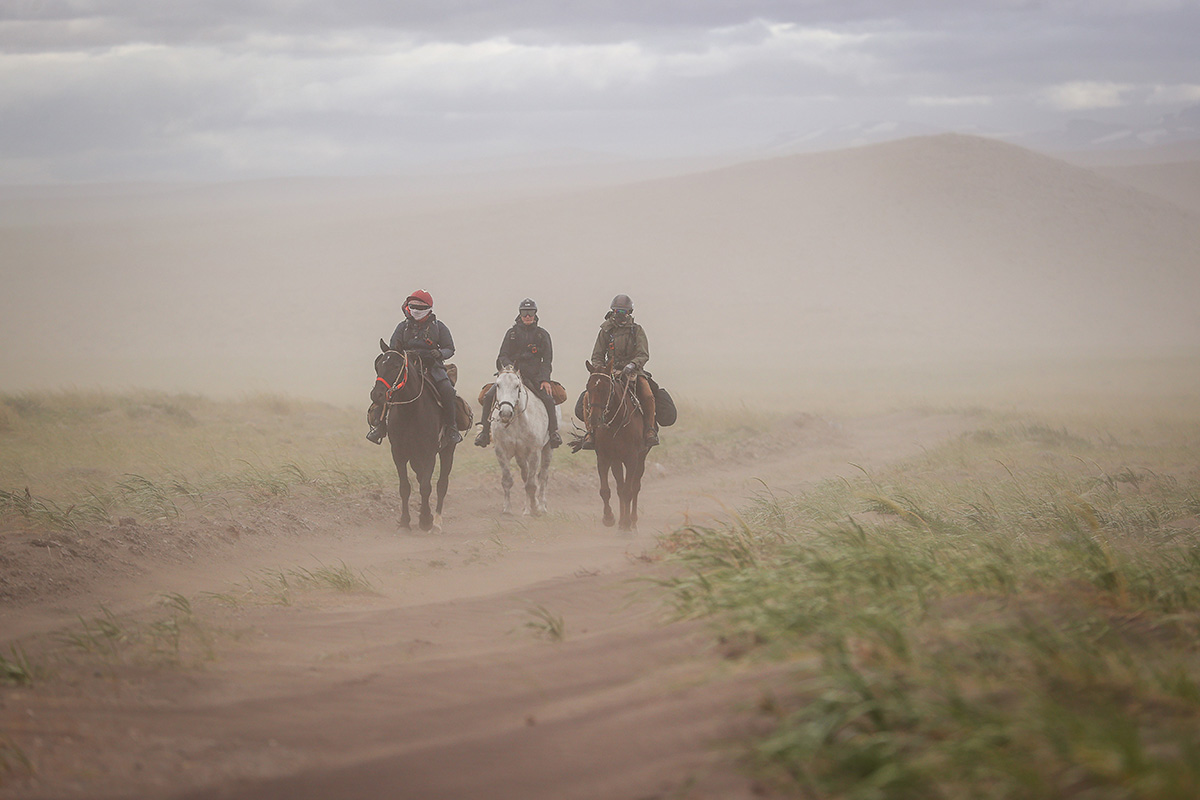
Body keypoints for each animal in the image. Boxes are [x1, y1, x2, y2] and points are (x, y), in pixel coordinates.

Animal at [374, 338, 453, 532]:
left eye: (396, 366)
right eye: (378, 365)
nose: (376, 395)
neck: (410, 412)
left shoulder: (430, 453)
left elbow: (426, 486)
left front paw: (425, 520)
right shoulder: (398, 453)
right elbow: (405, 487)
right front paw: (404, 522)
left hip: (447, 450)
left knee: (441, 484)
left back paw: (436, 521)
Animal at [489, 367, 554, 515]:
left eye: (517, 386)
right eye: (498, 385)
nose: (505, 413)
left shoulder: (534, 453)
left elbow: (531, 484)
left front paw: (535, 508)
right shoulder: (501, 451)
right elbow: (508, 480)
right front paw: (507, 509)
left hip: (547, 448)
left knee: (543, 476)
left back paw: (542, 506)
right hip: (520, 456)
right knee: (525, 475)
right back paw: (526, 509)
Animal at [583, 362, 648, 532]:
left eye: (607, 388)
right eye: (588, 387)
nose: (594, 418)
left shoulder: (632, 458)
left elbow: (628, 491)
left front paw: (626, 526)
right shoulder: (604, 457)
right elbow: (606, 490)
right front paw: (609, 518)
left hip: (641, 457)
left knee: (635, 486)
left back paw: (632, 522)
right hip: (617, 460)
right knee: (620, 487)